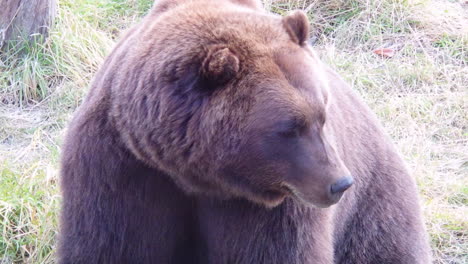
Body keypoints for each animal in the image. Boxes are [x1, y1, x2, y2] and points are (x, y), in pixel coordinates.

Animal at [58, 0, 432, 262]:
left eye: (323, 116)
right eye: (290, 128)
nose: (340, 183)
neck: (195, 177)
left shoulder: (272, 205)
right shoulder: (122, 168)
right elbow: (112, 242)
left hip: (375, 204)